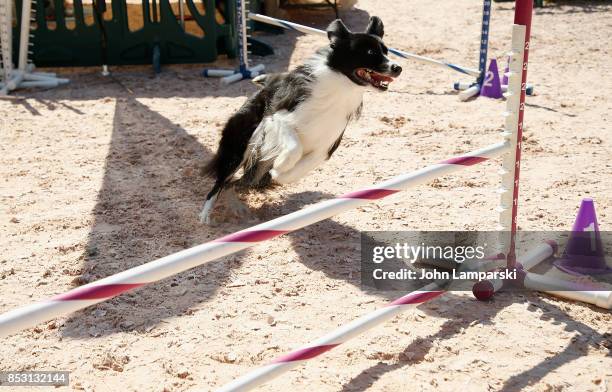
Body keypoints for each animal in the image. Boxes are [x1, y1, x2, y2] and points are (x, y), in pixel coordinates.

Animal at [201, 16, 402, 224]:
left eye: (386, 51)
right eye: (370, 52)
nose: (398, 68)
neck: (341, 86)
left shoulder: (325, 146)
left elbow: (300, 169)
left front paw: (278, 173)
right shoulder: (277, 119)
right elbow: (294, 146)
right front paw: (281, 164)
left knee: (236, 183)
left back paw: (238, 206)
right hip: (240, 146)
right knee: (221, 181)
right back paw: (206, 215)